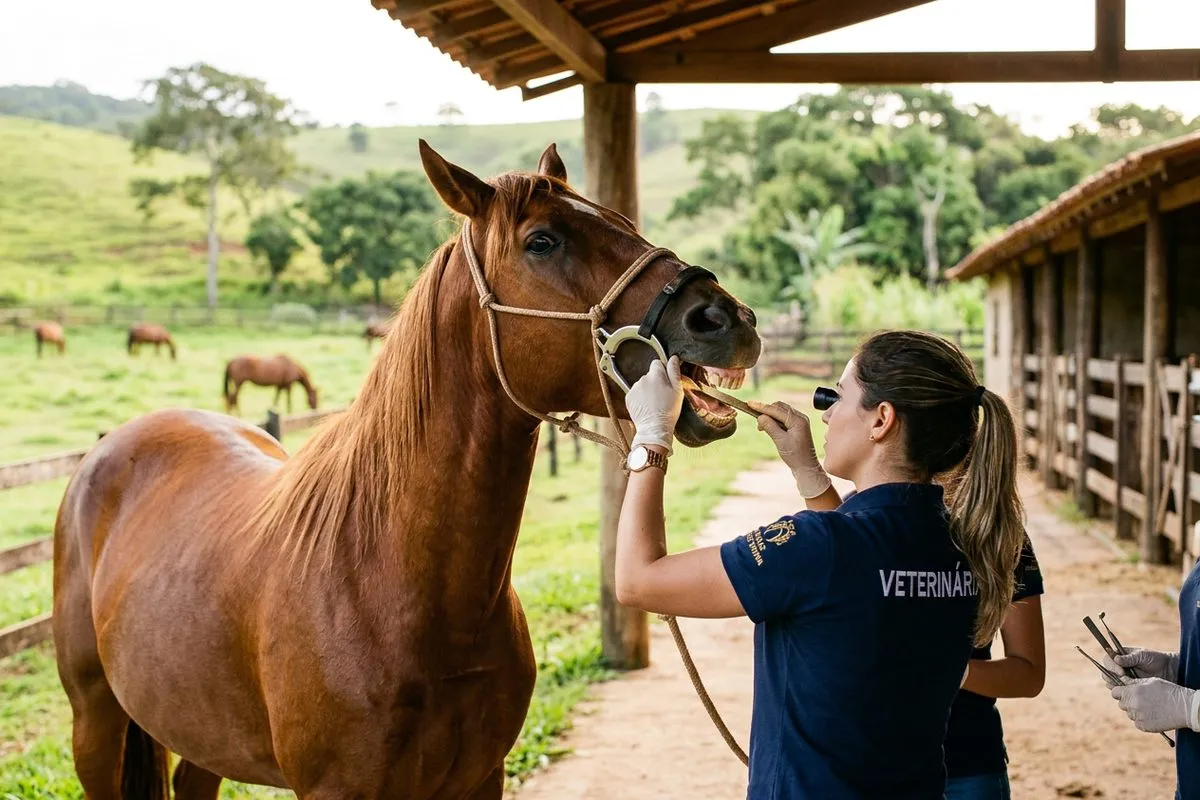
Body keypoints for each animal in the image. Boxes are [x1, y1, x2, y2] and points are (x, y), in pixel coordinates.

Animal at [52, 140, 760, 799]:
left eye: (622, 220)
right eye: (542, 241)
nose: (727, 318)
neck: (383, 578)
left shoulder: (482, 777)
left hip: (201, 735)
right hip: (95, 726)